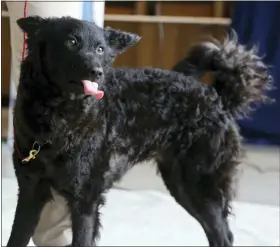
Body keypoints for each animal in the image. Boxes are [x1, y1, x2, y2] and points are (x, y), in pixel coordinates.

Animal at [8, 15, 272, 247]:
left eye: (101, 49)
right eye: (71, 42)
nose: (96, 71)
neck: (57, 118)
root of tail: (217, 96)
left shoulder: (85, 200)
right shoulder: (30, 192)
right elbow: (17, 237)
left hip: (199, 183)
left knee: (223, 235)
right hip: (181, 184)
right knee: (218, 232)